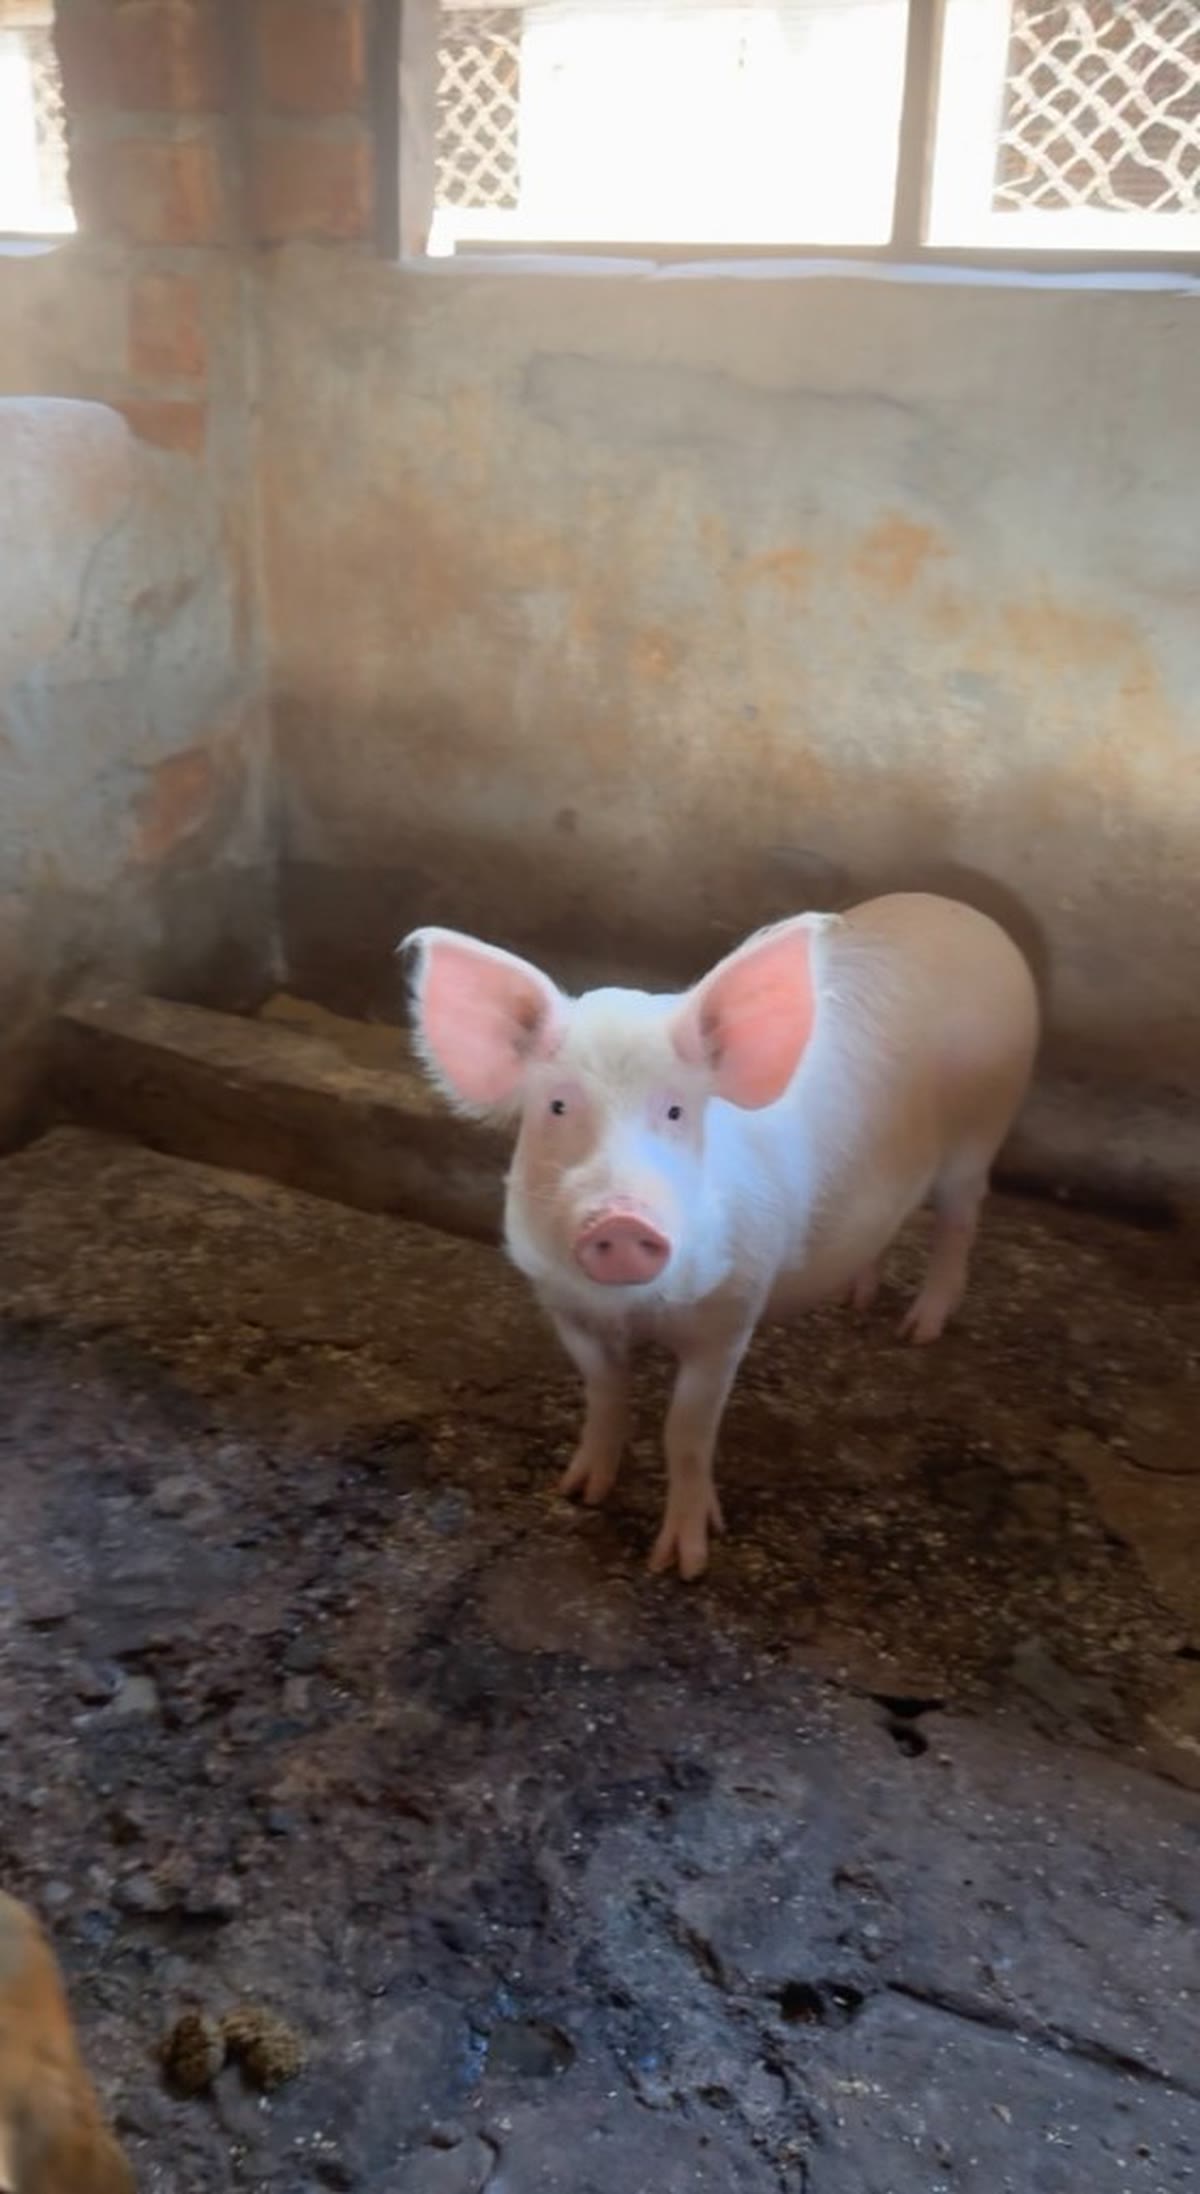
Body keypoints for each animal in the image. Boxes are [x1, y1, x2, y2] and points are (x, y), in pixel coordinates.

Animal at [404, 893, 1039, 1581]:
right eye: (557, 1107)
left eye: (677, 1111)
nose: (621, 1221)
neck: (636, 1310)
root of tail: (967, 913)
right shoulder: (562, 1302)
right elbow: (604, 1393)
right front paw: (578, 1492)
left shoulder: (731, 1312)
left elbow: (686, 1433)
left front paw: (682, 1564)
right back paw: (857, 1300)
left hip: (981, 1133)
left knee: (960, 1221)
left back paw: (918, 1329)